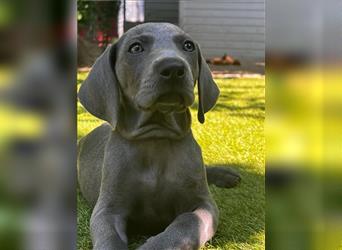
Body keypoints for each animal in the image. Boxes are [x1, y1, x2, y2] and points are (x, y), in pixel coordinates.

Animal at [78, 22, 240, 249]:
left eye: (188, 46)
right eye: (136, 48)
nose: (173, 68)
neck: (155, 137)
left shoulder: (204, 205)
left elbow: (187, 223)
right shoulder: (107, 209)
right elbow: (109, 237)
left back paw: (227, 175)